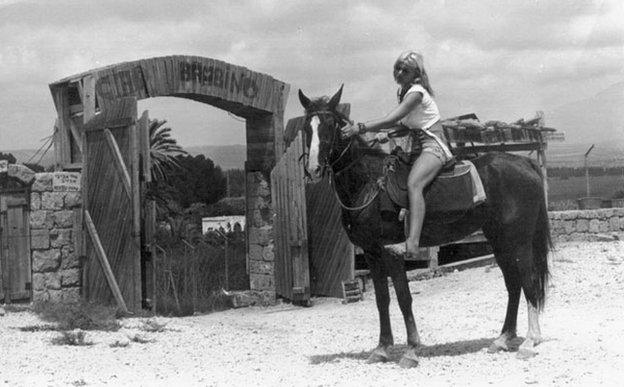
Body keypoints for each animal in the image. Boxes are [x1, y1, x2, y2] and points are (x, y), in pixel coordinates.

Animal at [298, 86, 552, 368]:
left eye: (330, 125)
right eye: (307, 127)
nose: (314, 169)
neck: (370, 184)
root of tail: (525, 164)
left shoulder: (391, 252)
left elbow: (403, 297)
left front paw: (411, 350)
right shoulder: (372, 253)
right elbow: (382, 299)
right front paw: (382, 348)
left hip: (519, 241)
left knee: (528, 281)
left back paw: (530, 341)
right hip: (500, 242)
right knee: (513, 284)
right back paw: (503, 338)